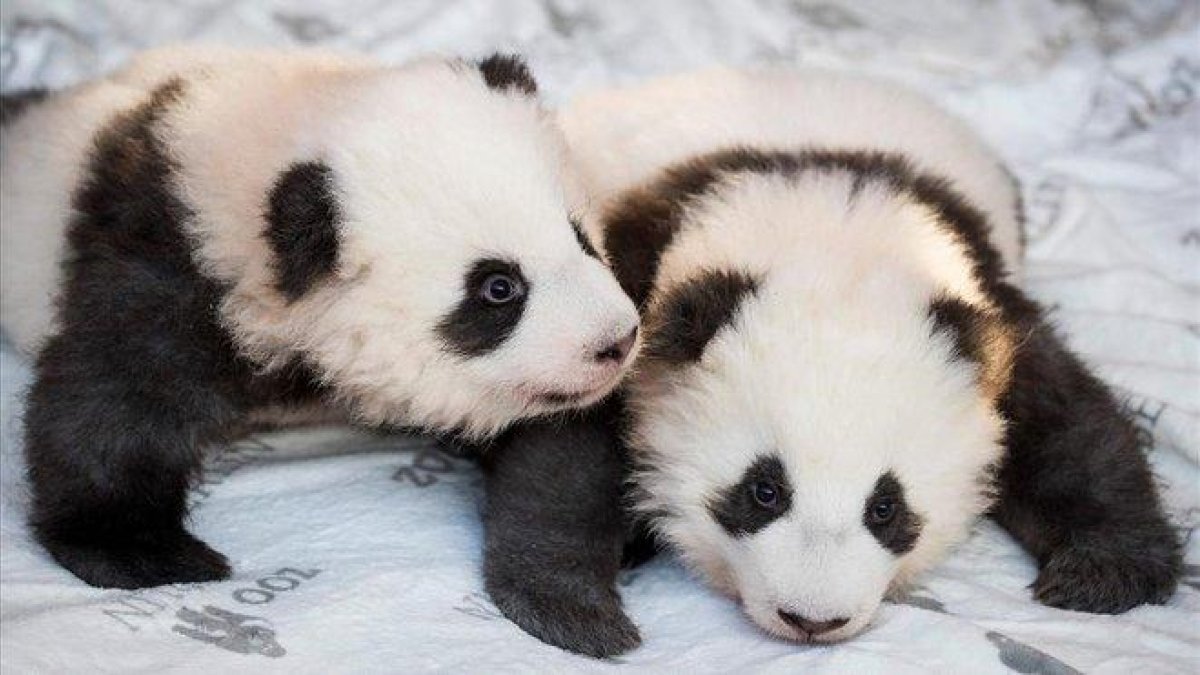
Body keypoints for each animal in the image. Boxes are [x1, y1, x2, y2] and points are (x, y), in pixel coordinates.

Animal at [0, 46, 643, 652]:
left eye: (581, 237)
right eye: (498, 288)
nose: (616, 342)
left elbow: (560, 455)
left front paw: (571, 605)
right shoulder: (170, 256)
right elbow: (111, 397)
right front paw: (142, 550)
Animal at [559, 67, 1181, 643]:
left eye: (886, 508)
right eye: (764, 492)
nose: (812, 620)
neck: (835, 231)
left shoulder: (985, 314)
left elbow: (1068, 426)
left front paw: (1103, 573)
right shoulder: (632, 279)